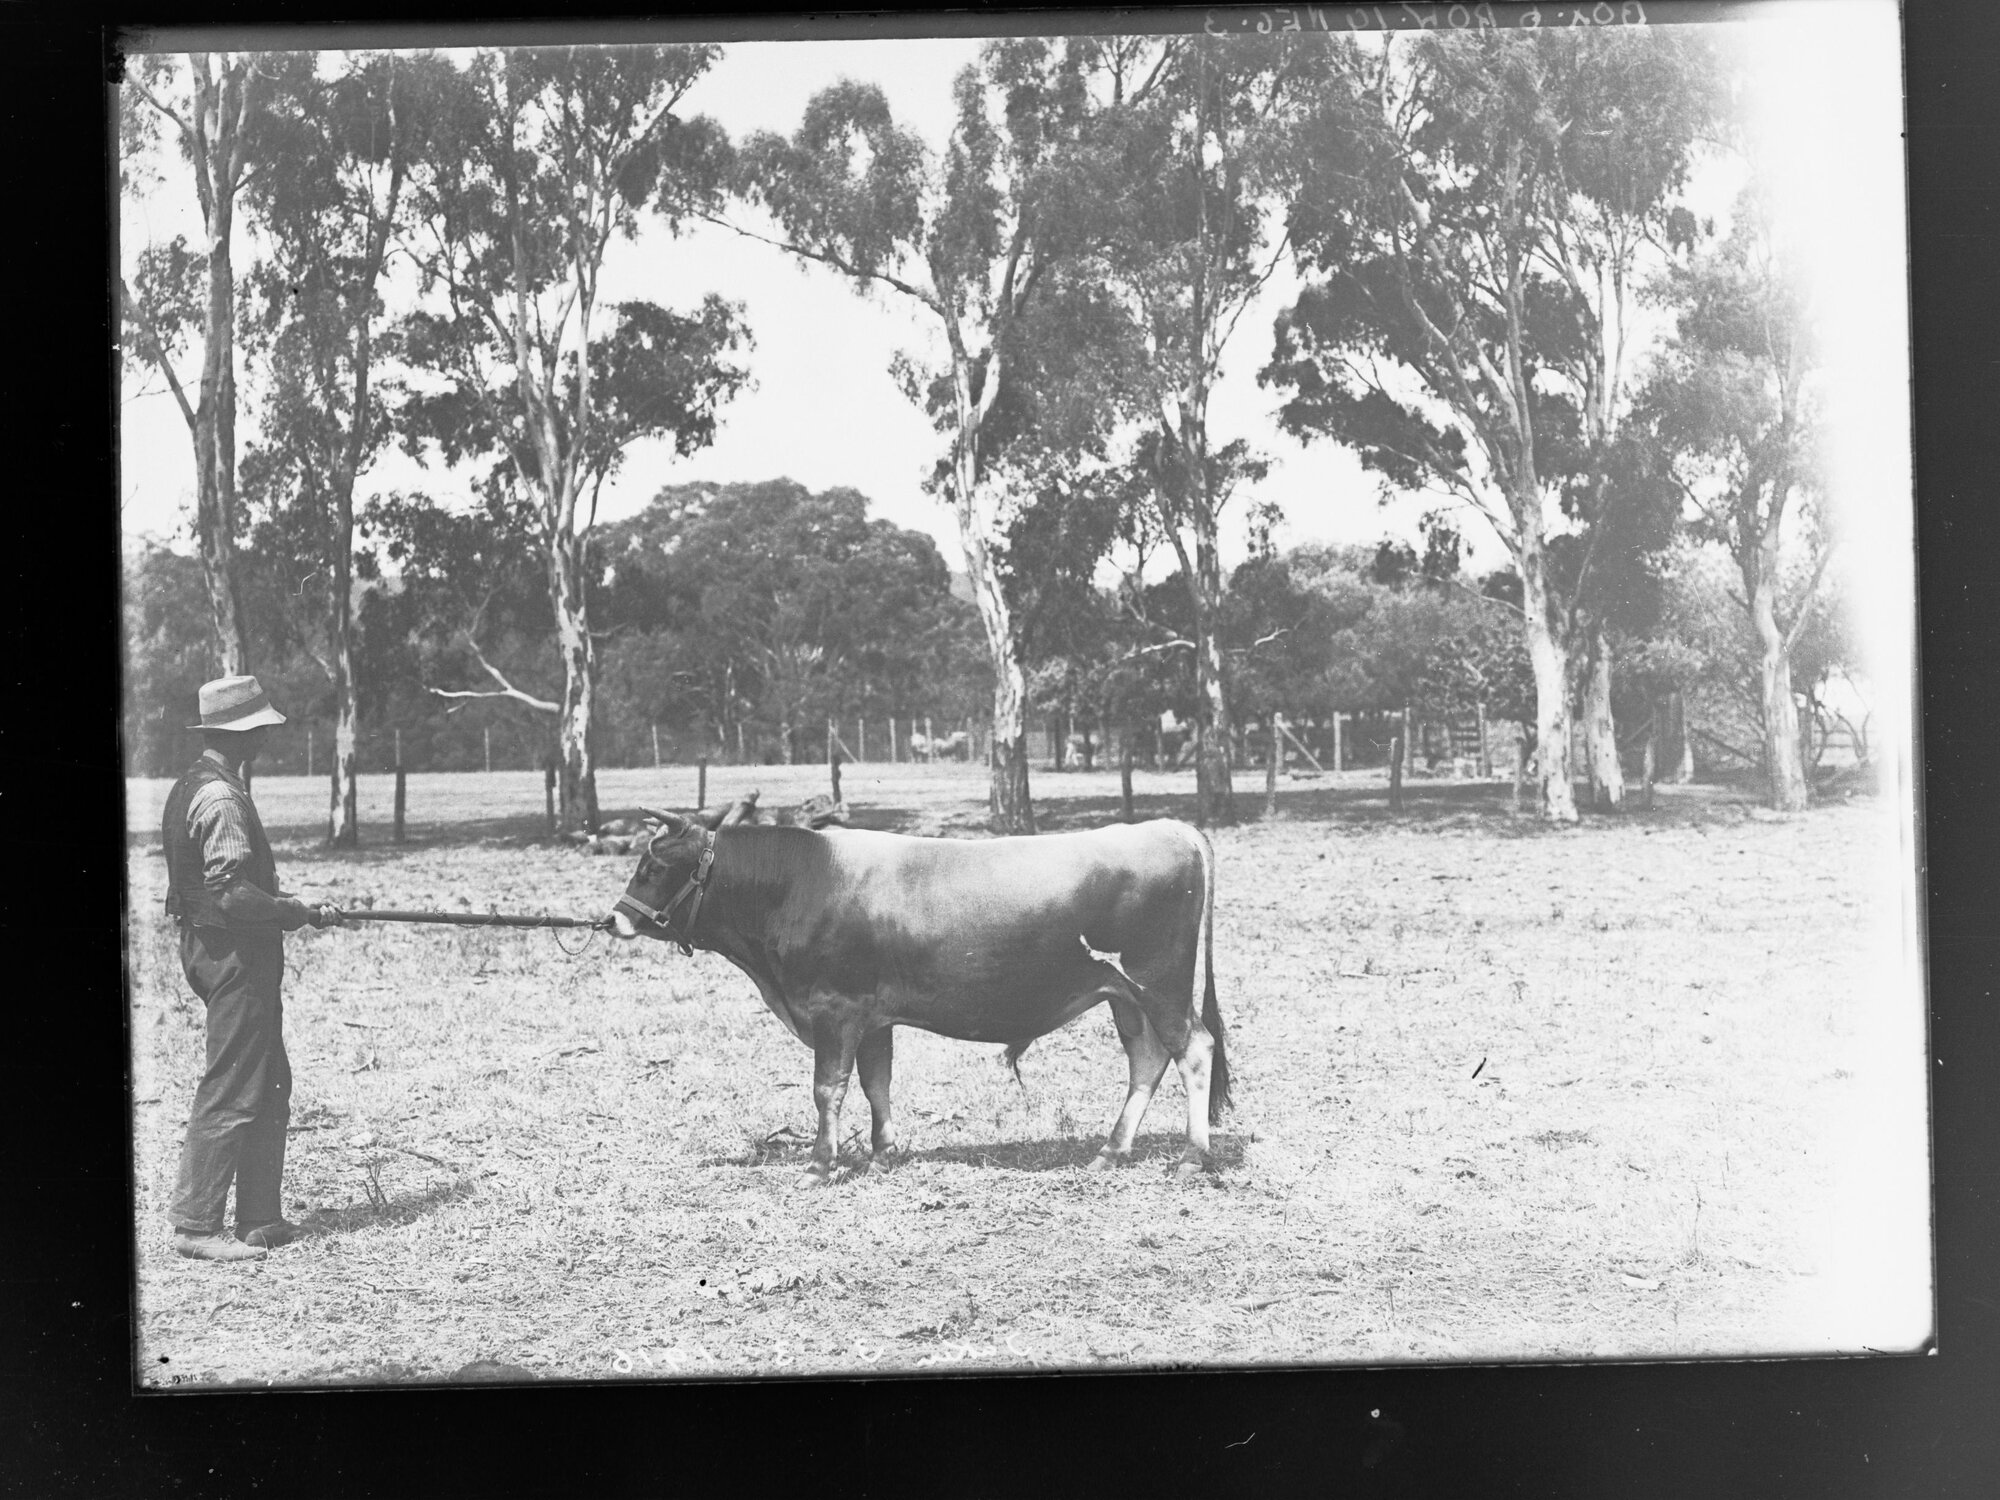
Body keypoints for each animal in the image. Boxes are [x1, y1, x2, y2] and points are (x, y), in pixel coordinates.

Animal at [607, 811, 1230, 1186]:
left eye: (654, 867)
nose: (613, 919)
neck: (801, 883)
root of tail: (1170, 827)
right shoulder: (873, 1017)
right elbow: (876, 1083)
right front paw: (883, 1154)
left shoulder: (832, 1010)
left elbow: (827, 1088)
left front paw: (819, 1165)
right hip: (1125, 996)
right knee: (1147, 1060)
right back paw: (1110, 1151)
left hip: (1158, 984)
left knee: (1194, 1049)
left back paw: (1192, 1156)